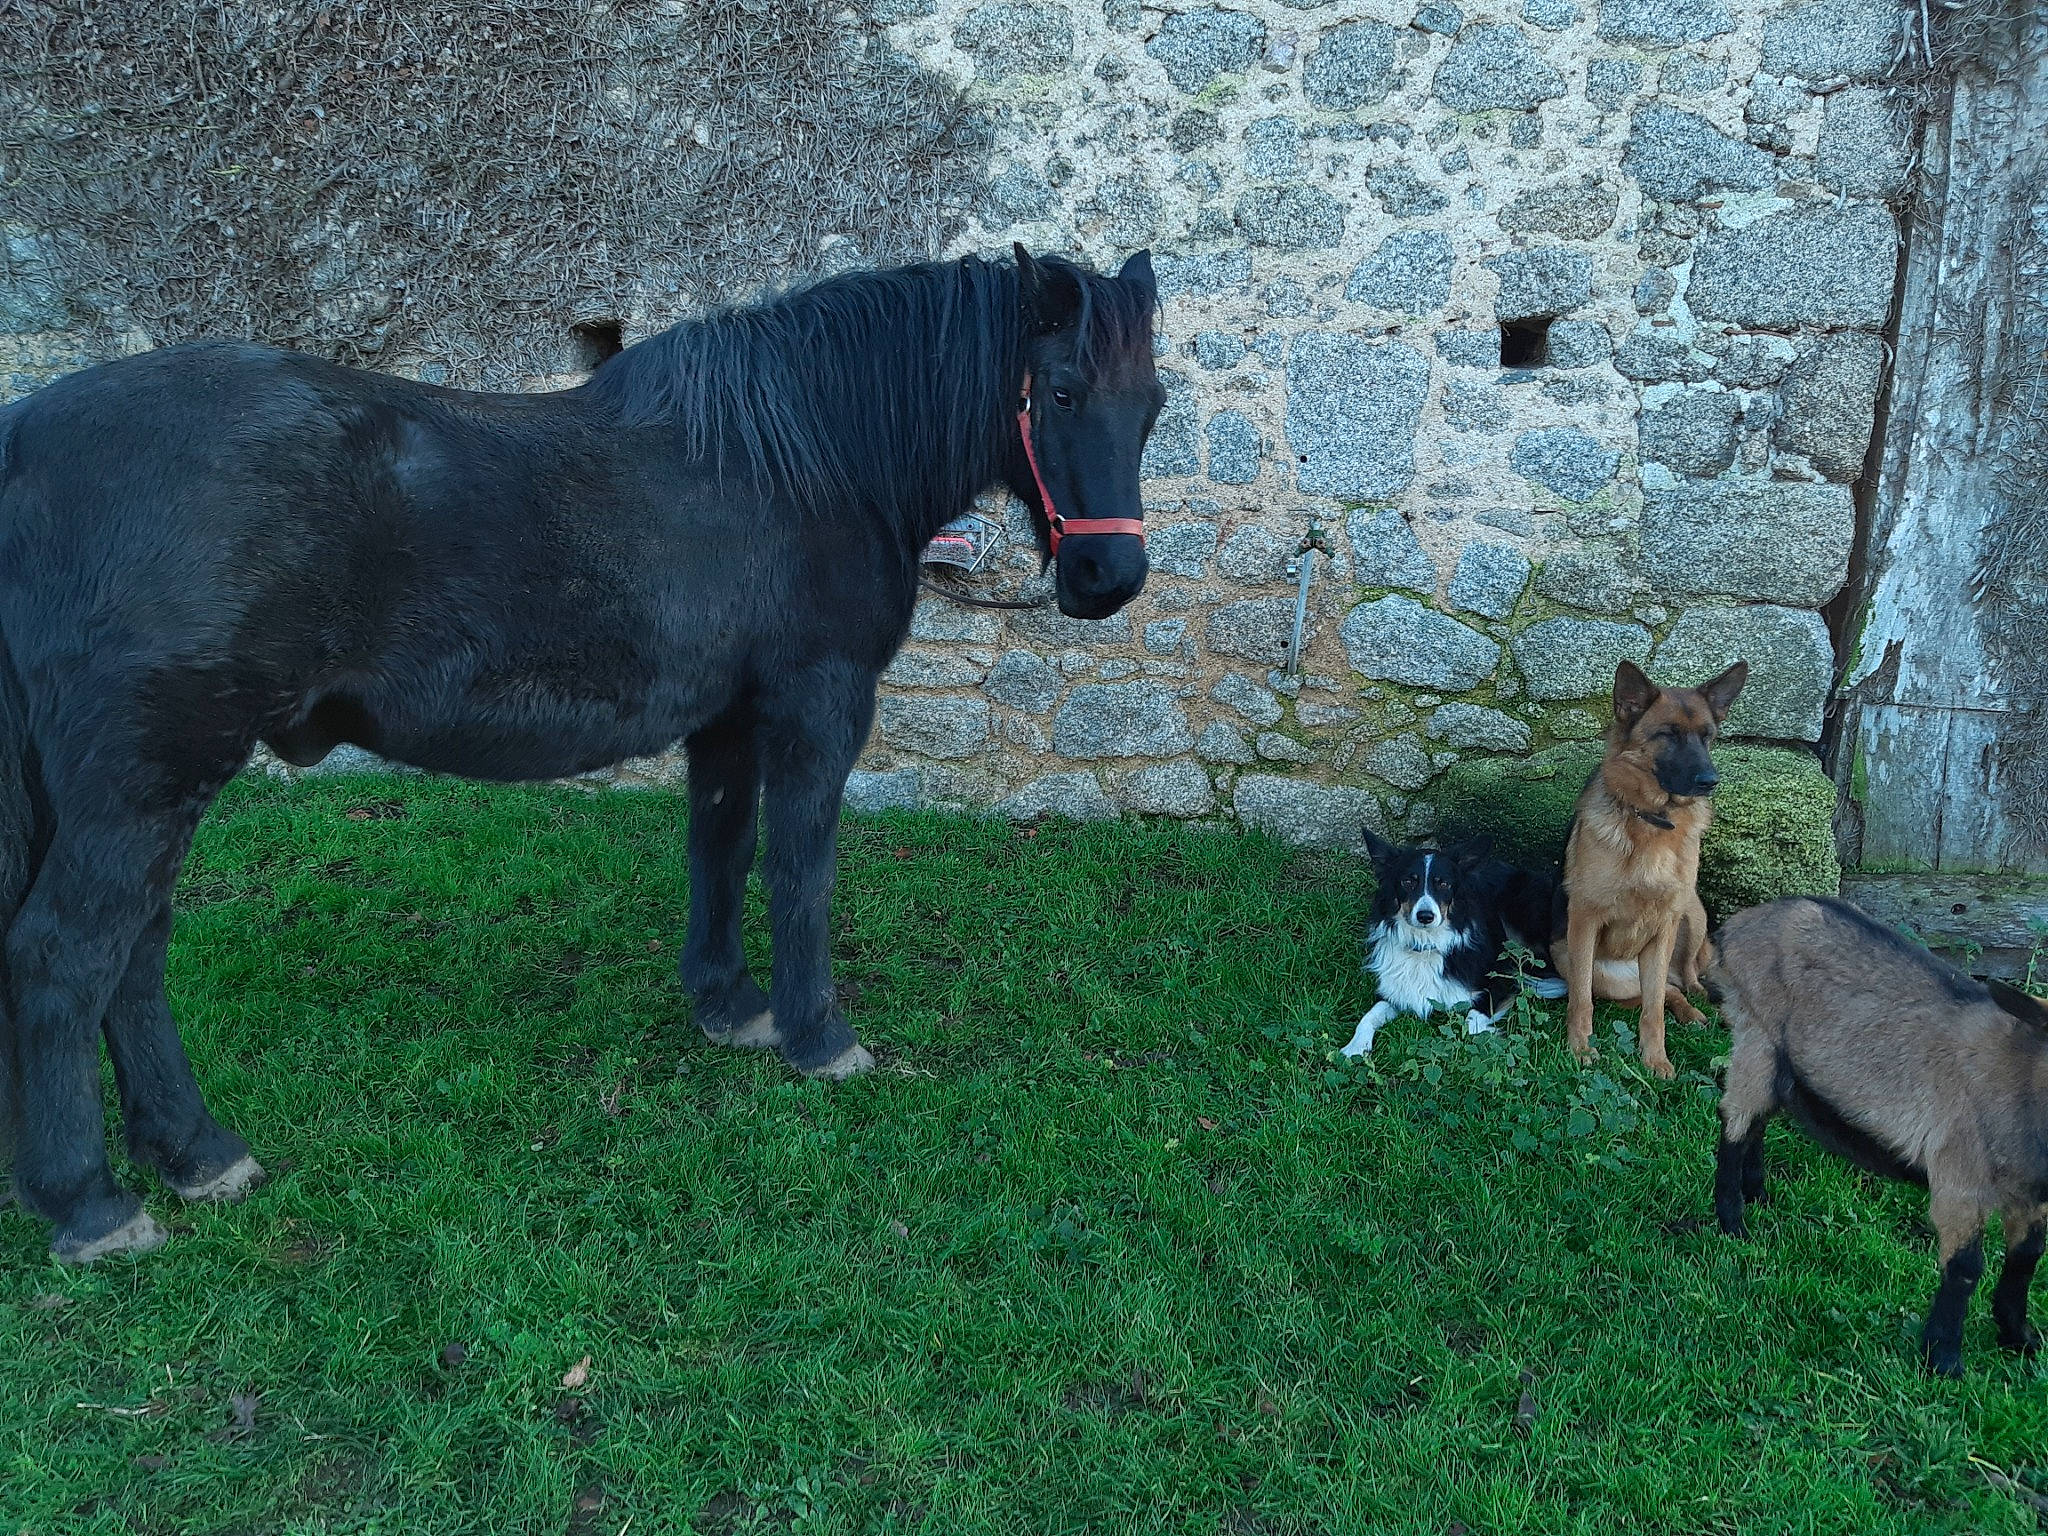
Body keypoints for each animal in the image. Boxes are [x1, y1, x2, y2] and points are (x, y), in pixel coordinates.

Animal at [0, 245, 1163, 1262]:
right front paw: (817, 1037)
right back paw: (94, 1203)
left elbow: (721, 852)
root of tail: (25, 444)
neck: (800, 461)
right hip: (147, 782)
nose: (1108, 578)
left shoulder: (726, 720)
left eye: (1149, 406)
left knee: (133, 956)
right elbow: (800, 869)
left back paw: (195, 1155)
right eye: (1060, 394)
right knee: (68, 957)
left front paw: (728, 1006)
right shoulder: (817, 700)